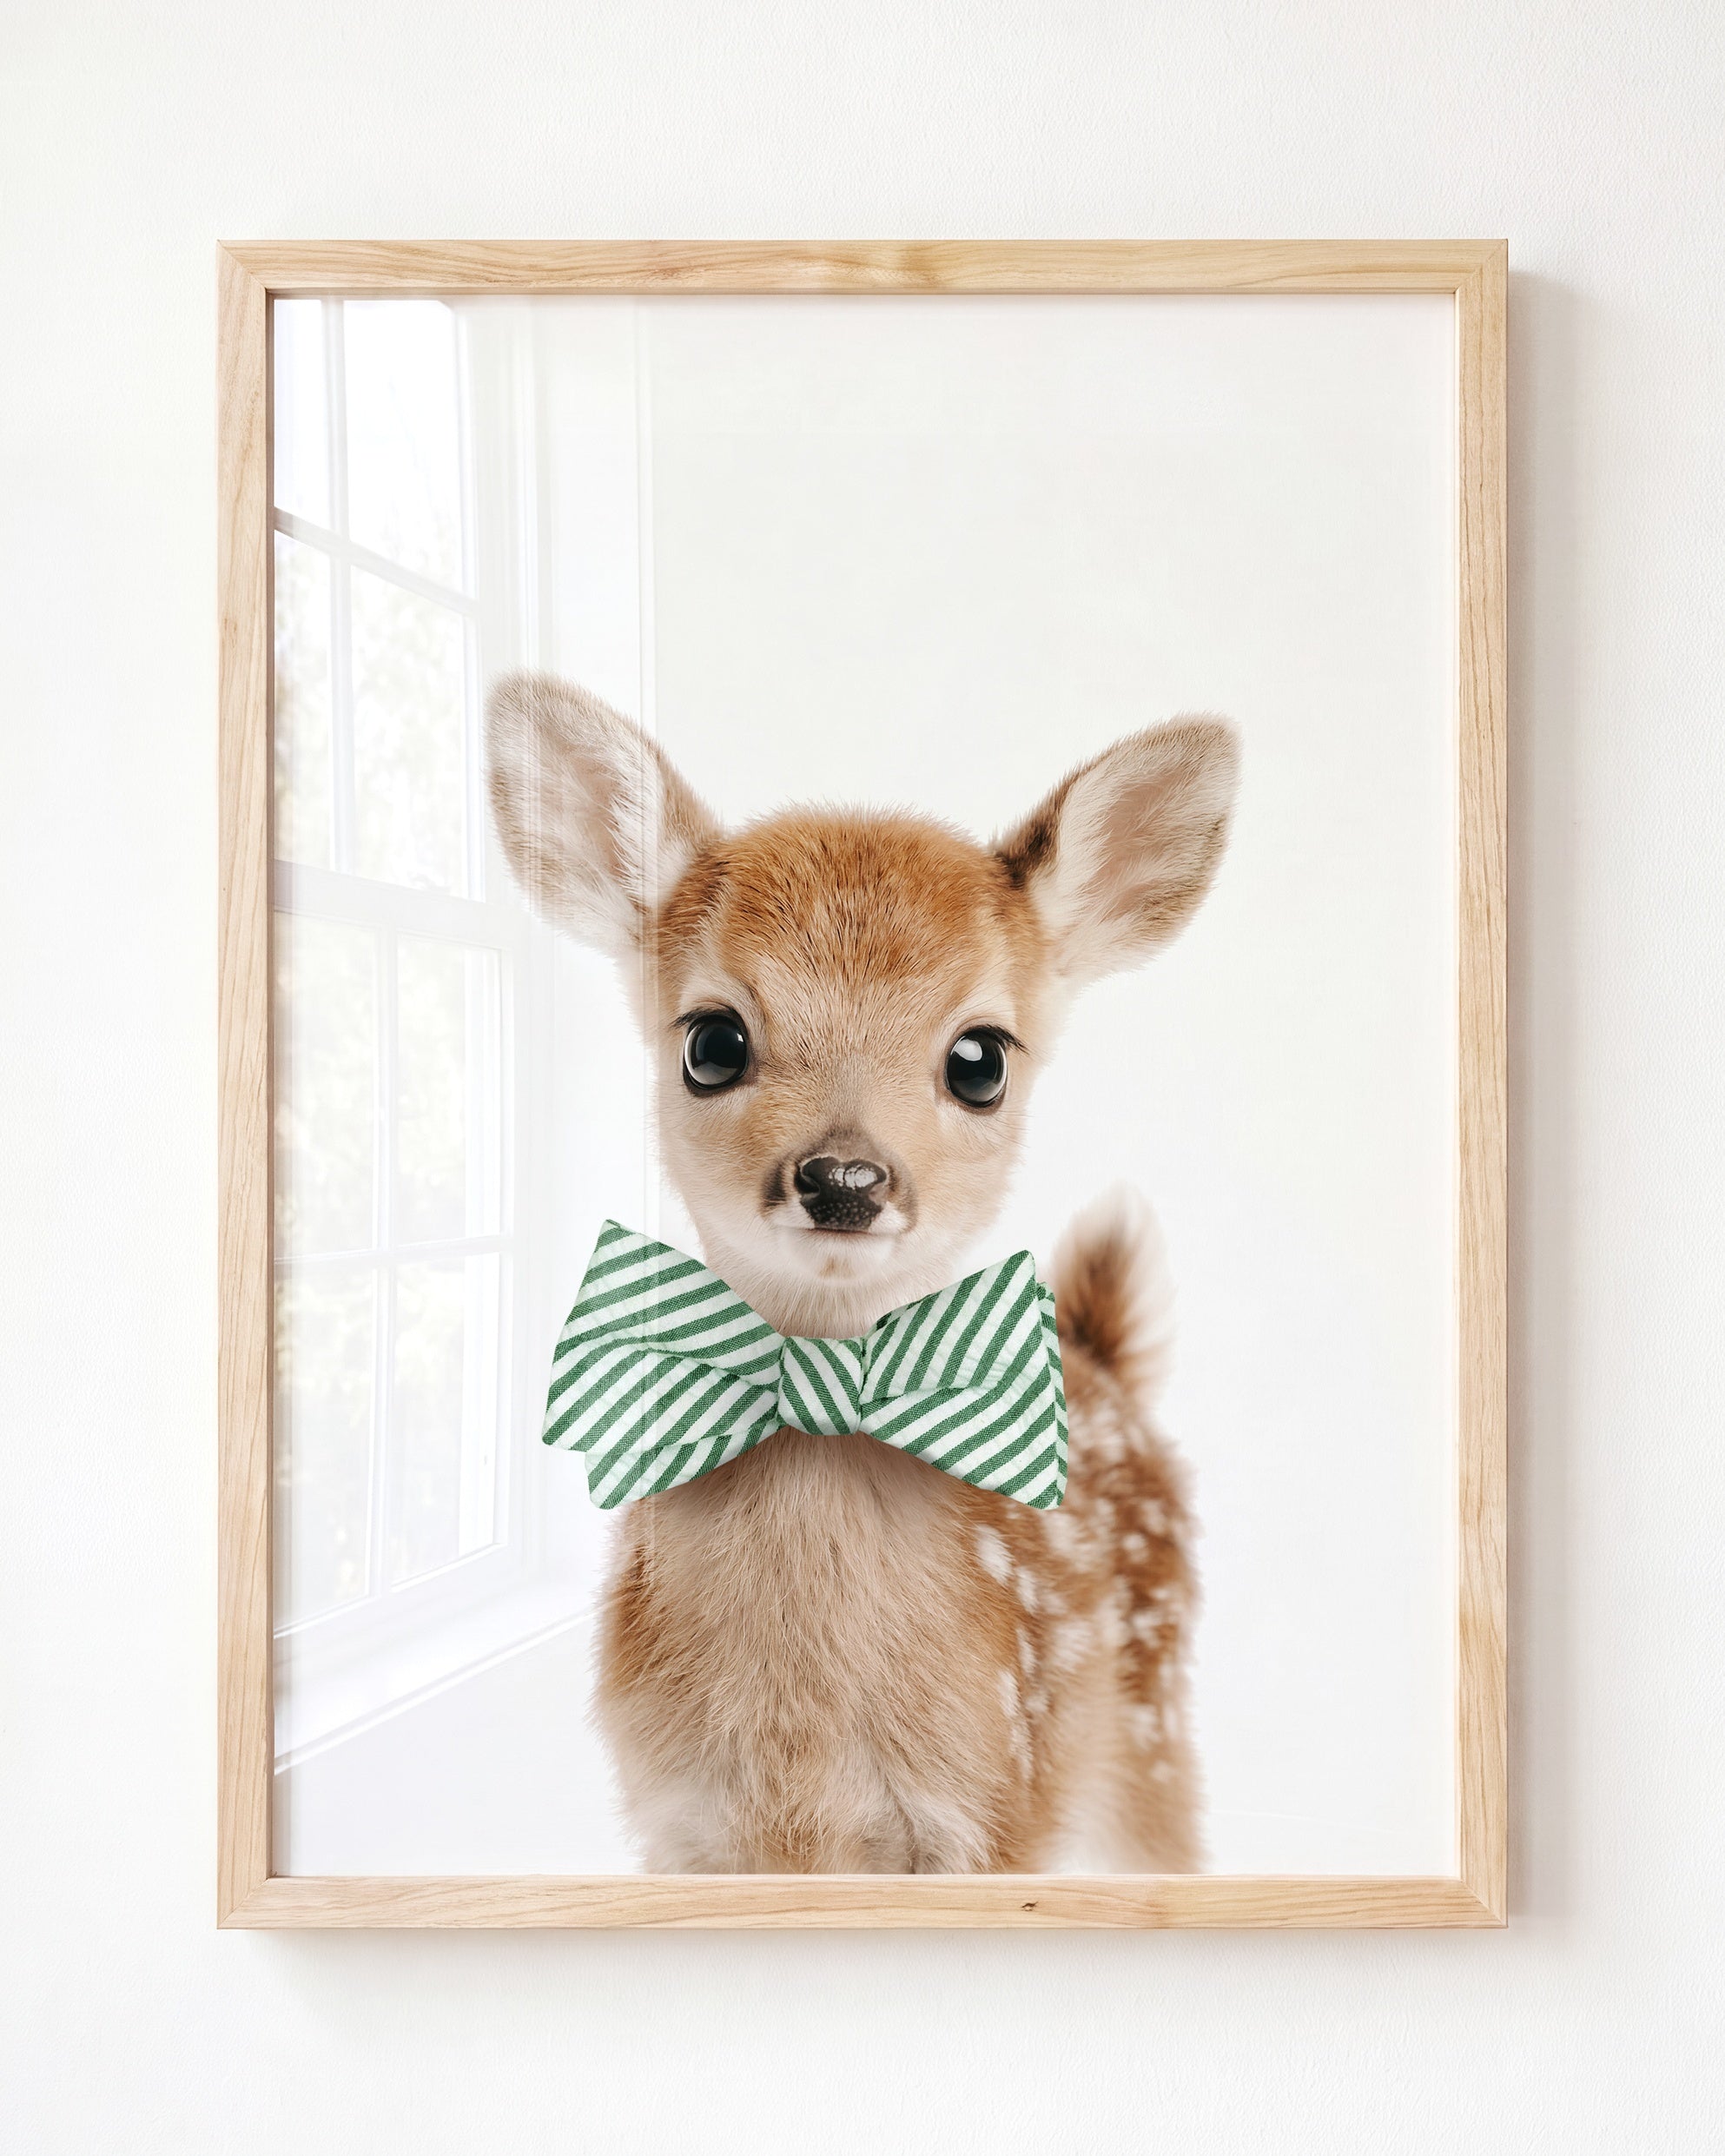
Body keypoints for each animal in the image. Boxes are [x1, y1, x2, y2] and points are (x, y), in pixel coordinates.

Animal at [486, 672, 1238, 1873]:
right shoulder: (679, 1825)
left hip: (1149, 1740)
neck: (802, 1762)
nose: (844, 1176)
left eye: (981, 1059)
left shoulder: (992, 1810)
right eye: (711, 1042)